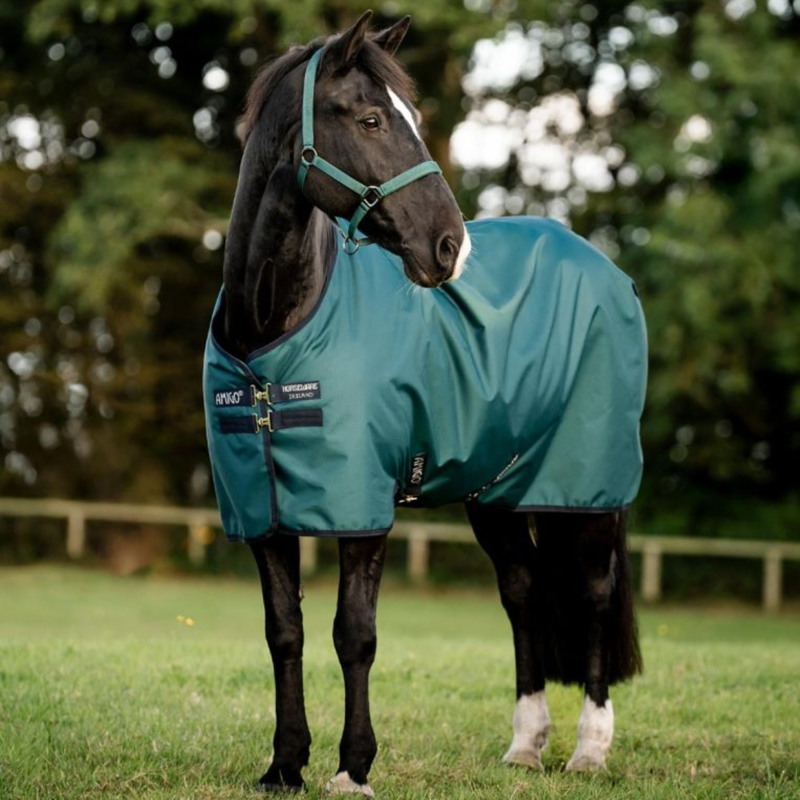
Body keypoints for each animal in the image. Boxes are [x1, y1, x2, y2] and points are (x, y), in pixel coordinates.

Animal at [204, 10, 645, 796]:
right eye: (372, 118)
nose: (450, 248)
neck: (271, 338)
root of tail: (604, 267)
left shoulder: (363, 508)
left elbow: (355, 635)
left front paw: (353, 767)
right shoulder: (262, 512)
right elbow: (285, 633)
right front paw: (285, 764)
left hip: (589, 489)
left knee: (593, 595)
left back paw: (589, 748)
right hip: (497, 493)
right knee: (522, 591)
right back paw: (525, 745)